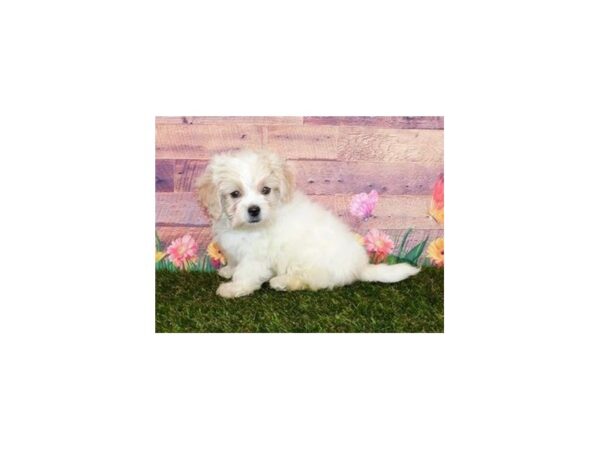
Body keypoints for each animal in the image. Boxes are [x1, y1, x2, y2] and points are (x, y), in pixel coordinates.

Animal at [195, 149, 420, 298]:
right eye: (235, 194)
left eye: (265, 190)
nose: (254, 209)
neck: (248, 228)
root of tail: (359, 267)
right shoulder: (234, 246)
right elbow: (235, 261)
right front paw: (228, 270)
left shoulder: (256, 255)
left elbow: (247, 272)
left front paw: (234, 288)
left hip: (311, 261)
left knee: (313, 280)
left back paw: (282, 282)